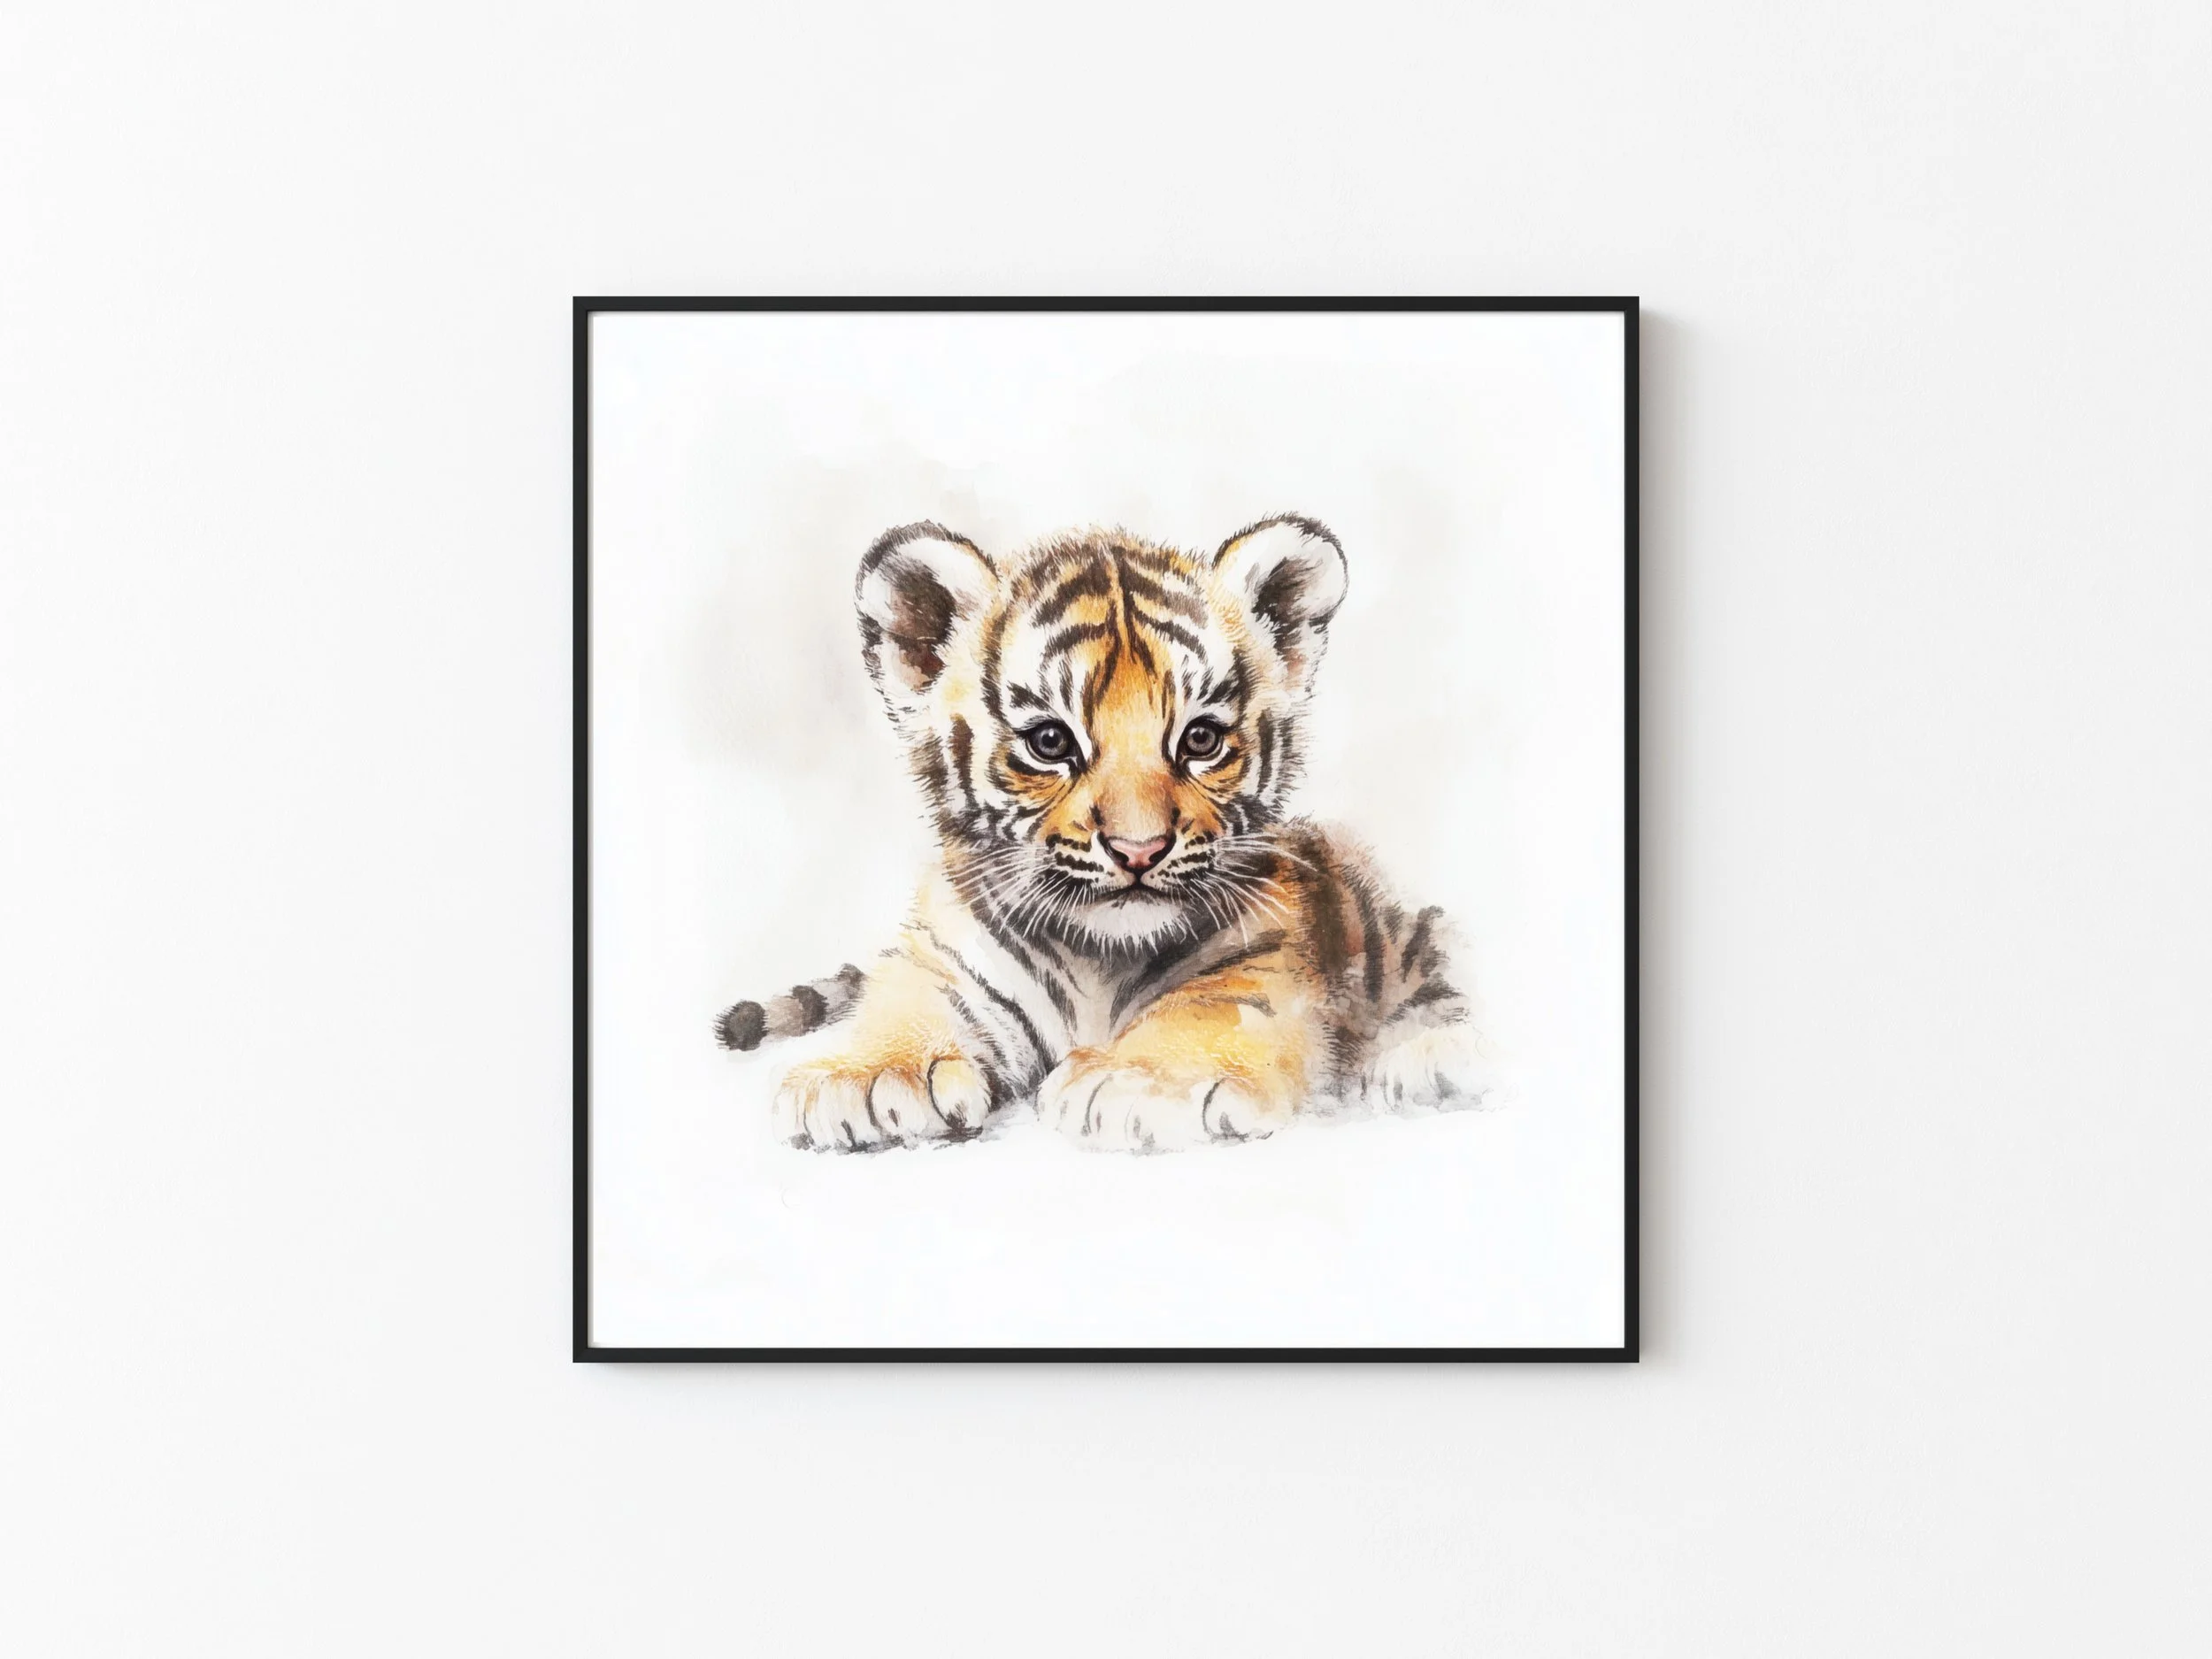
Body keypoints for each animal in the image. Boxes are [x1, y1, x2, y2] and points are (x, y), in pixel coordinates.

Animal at [714, 514, 1494, 1152]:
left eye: (1201, 739)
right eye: (1050, 742)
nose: (1139, 850)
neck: (1097, 955)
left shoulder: (1263, 967)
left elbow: (1207, 1010)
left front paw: (1129, 1080)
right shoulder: (945, 963)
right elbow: (905, 1001)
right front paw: (868, 1078)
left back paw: (1426, 1062)